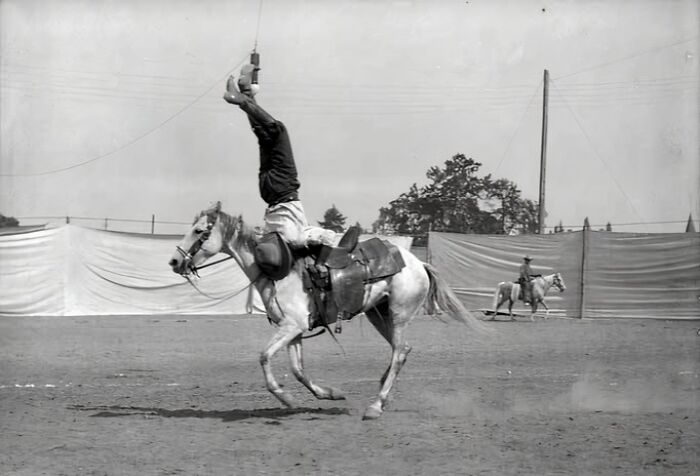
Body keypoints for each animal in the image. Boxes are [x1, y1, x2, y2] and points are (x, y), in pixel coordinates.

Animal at [168, 202, 490, 420]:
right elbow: (298, 370)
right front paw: (328, 393)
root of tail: (418, 263)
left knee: (399, 351)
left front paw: (285, 398)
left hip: (399, 314)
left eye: (199, 231)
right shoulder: (294, 330)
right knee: (402, 350)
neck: (278, 270)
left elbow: (264, 357)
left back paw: (376, 405)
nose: (174, 261)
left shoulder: (291, 327)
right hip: (378, 314)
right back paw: (382, 392)